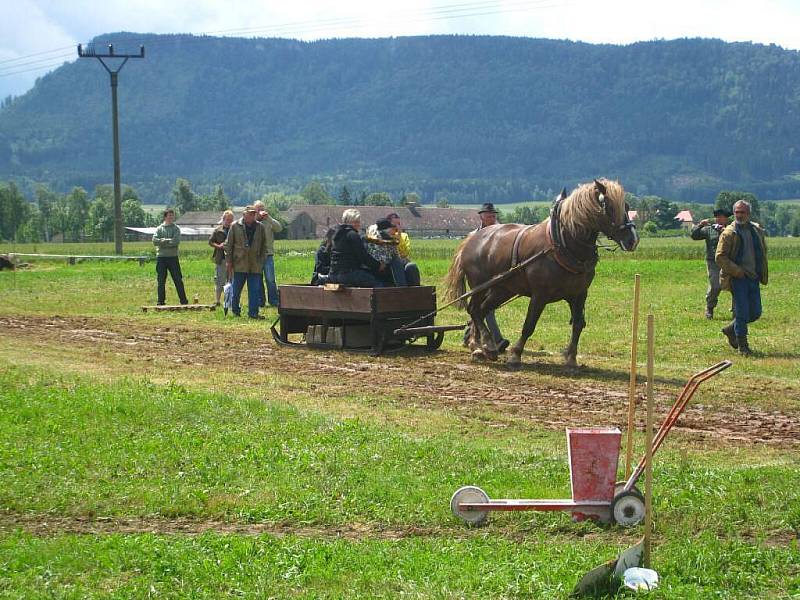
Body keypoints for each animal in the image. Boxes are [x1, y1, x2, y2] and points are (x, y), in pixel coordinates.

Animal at [444, 176, 636, 368]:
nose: (632, 240)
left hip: (502, 289)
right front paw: (516, 354)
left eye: (627, 206)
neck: (562, 243)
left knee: (482, 310)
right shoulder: (540, 294)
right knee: (474, 309)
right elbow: (529, 325)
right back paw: (484, 347)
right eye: (609, 207)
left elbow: (578, 324)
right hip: (480, 286)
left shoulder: (579, 294)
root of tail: (471, 239)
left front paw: (571, 358)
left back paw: (479, 346)